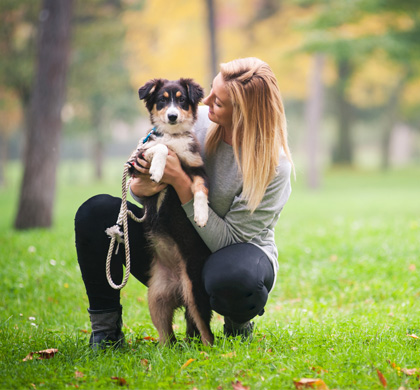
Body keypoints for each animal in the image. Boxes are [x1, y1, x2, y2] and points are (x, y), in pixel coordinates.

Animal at [129, 78, 213, 344]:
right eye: (162, 100)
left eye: (182, 100)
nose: (173, 116)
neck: (174, 135)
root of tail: (178, 287)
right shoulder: (136, 162)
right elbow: (160, 147)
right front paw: (158, 169)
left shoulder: (197, 168)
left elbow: (200, 190)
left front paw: (201, 215)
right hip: (156, 299)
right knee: (168, 336)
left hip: (196, 291)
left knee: (207, 332)